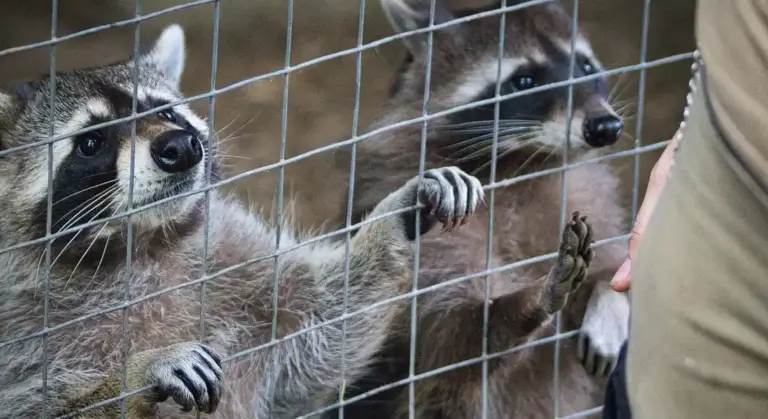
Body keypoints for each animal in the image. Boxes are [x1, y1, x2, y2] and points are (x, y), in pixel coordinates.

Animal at [0, 24, 494, 418]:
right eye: (91, 143)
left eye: (165, 112)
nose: (180, 147)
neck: (142, 243)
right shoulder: (19, 332)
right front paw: (136, 372)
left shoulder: (231, 253)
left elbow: (315, 338)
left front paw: (395, 216)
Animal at [333, 0, 631, 418]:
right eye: (524, 81)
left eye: (586, 67)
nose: (605, 127)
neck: (526, 162)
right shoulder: (430, 236)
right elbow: (456, 342)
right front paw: (530, 300)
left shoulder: (588, 198)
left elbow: (616, 266)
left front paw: (610, 297)